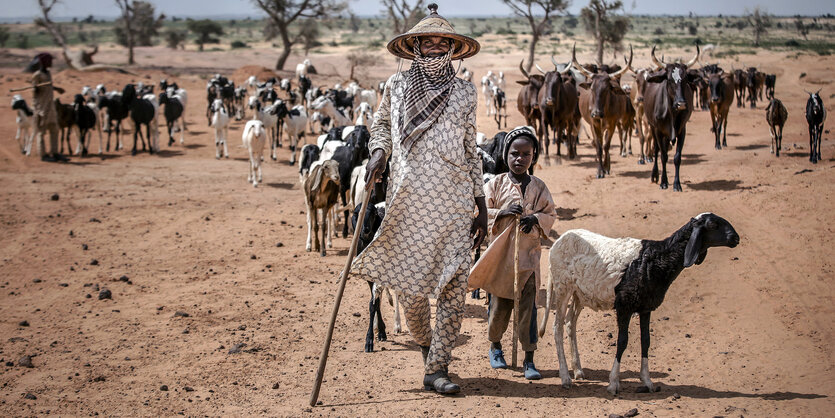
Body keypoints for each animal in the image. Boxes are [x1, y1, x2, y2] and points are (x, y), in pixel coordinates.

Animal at [540, 214, 740, 394]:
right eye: (713, 224)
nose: (736, 238)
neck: (656, 259)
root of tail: (560, 240)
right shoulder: (624, 306)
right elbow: (622, 341)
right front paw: (613, 383)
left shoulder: (645, 307)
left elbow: (646, 341)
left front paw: (647, 381)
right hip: (562, 286)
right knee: (557, 328)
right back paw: (565, 377)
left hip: (580, 294)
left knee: (570, 323)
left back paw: (578, 370)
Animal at [576, 44, 632, 178]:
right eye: (592, 88)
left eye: (607, 89)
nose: (596, 113)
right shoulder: (594, 124)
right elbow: (599, 147)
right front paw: (599, 170)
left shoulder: (612, 124)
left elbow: (606, 146)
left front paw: (606, 167)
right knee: (598, 142)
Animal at [644, 44, 704, 191]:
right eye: (670, 80)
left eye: (685, 79)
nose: (681, 104)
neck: (671, 112)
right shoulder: (658, 131)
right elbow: (663, 156)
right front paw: (664, 182)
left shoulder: (682, 131)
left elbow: (677, 157)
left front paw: (677, 184)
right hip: (653, 128)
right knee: (657, 150)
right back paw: (655, 175)